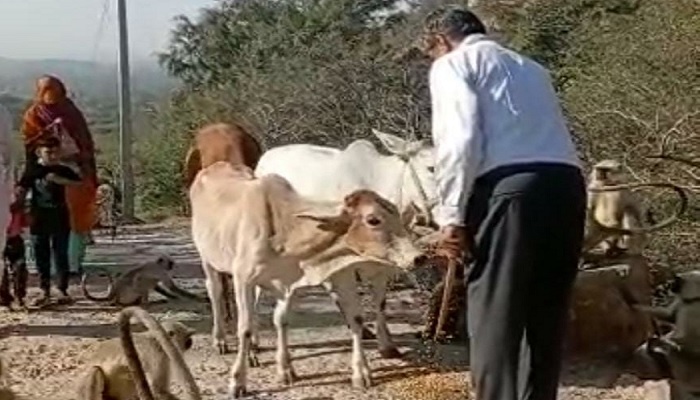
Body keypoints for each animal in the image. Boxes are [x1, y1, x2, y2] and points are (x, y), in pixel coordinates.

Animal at [189, 161, 424, 397]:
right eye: (373, 220)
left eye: (397, 215)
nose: (418, 257)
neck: (285, 229)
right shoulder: (242, 278)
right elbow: (243, 328)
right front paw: (238, 381)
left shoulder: (290, 282)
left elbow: (282, 320)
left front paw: (286, 369)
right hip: (207, 259)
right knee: (215, 292)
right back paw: (220, 340)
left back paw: (254, 349)